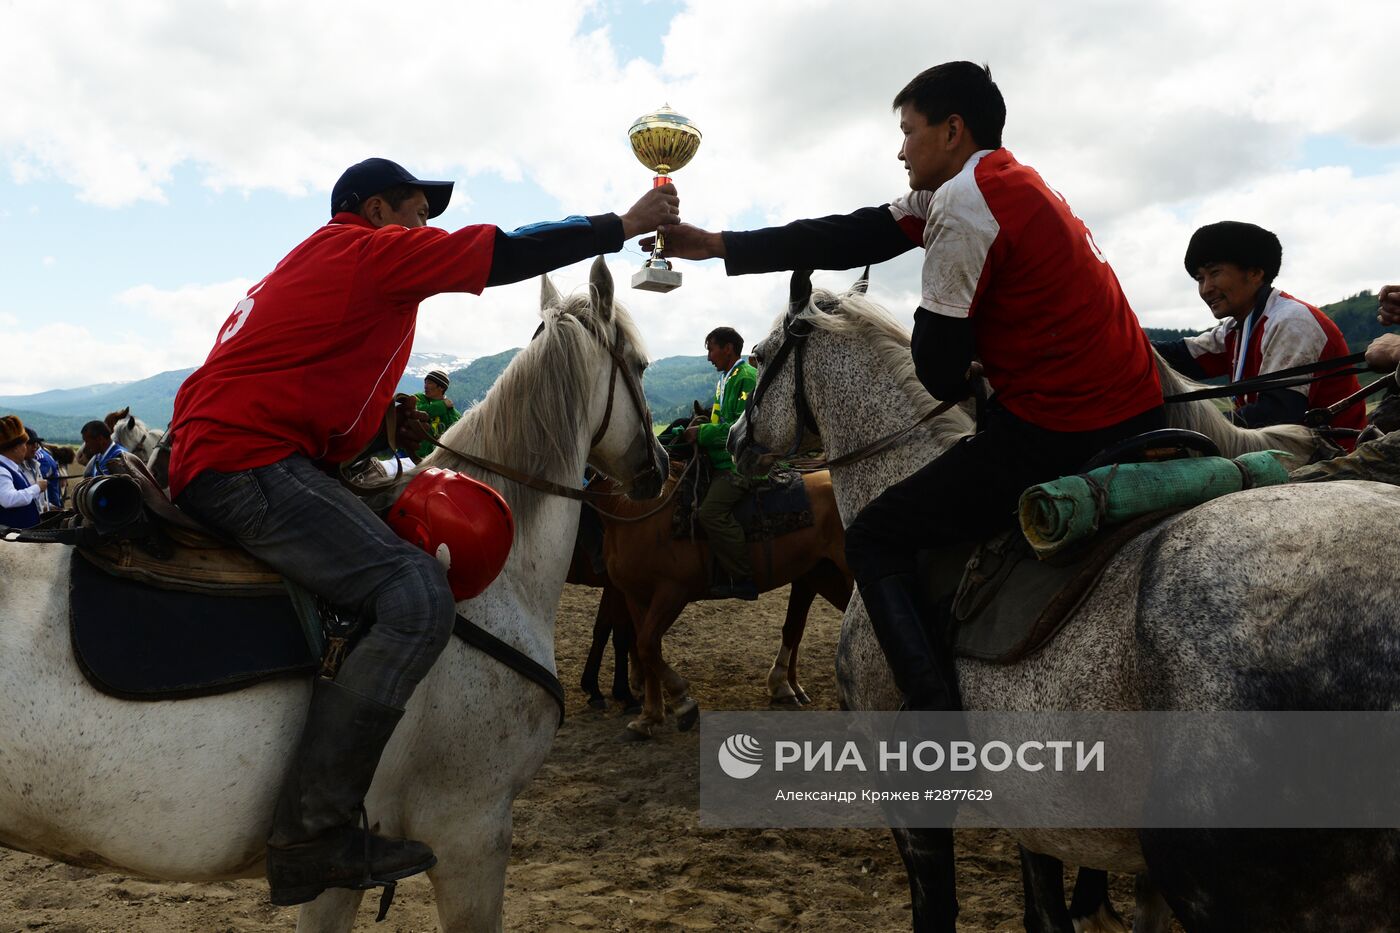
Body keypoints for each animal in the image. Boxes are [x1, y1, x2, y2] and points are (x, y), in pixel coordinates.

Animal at [588, 462, 845, 739]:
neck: (636, 513)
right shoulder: (635, 596)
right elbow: (646, 651)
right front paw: (649, 717)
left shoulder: (672, 592)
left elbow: (646, 645)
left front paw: (682, 702)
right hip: (827, 577)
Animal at [733, 274, 1400, 930]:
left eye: (759, 358)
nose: (736, 438)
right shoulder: (1038, 805)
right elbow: (1044, 911)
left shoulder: (911, 798)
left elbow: (939, 909)